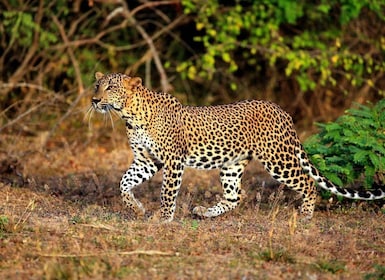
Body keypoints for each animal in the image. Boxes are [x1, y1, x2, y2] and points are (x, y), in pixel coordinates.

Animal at [91, 72, 384, 223]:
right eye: (97, 85)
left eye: (111, 87)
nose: (94, 100)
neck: (129, 115)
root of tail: (282, 111)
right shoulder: (147, 160)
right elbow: (124, 183)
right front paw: (137, 209)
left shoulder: (173, 160)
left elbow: (167, 193)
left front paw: (162, 218)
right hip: (232, 165)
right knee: (236, 196)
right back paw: (205, 212)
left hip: (278, 159)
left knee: (308, 183)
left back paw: (305, 215)